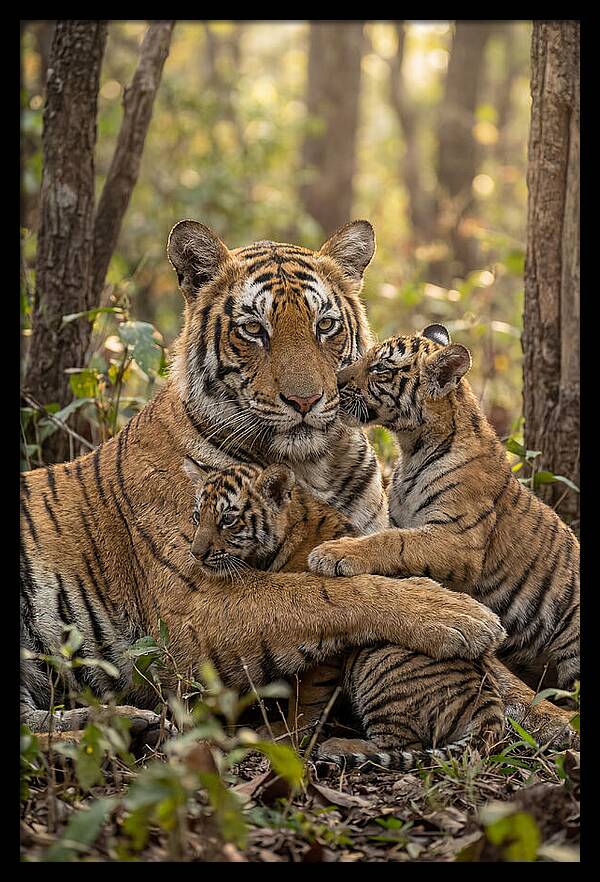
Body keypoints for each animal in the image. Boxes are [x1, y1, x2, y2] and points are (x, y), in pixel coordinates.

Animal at [20, 221, 506, 734]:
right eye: (254, 329)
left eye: (325, 325)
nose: (306, 400)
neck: (312, 465)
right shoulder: (195, 604)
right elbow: (321, 592)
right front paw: (459, 615)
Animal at [184, 456, 506, 768]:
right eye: (198, 516)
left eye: (228, 519)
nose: (196, 554)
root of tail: (489, 701)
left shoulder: (325, 644)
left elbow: (307, 697)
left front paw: (287, 733)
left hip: (379, 663)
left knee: (402, 745)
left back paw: (338, 746)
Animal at [308, 324, 580, 698]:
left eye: (380, 369)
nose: (334, 382)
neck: (412, 447)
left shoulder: (459, 539)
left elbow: (394, 541)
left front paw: (334, 553)